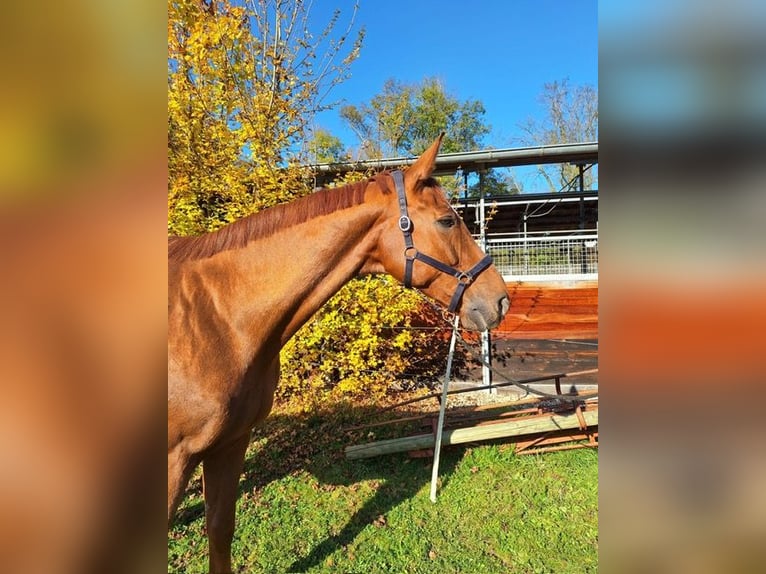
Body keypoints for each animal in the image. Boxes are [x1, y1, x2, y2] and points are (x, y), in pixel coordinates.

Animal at [171, 136, 512, 574]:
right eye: (447, 221)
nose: (501, 300)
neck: (217, 317)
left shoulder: (230, 444)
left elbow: (220, 531)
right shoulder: (174, 460)